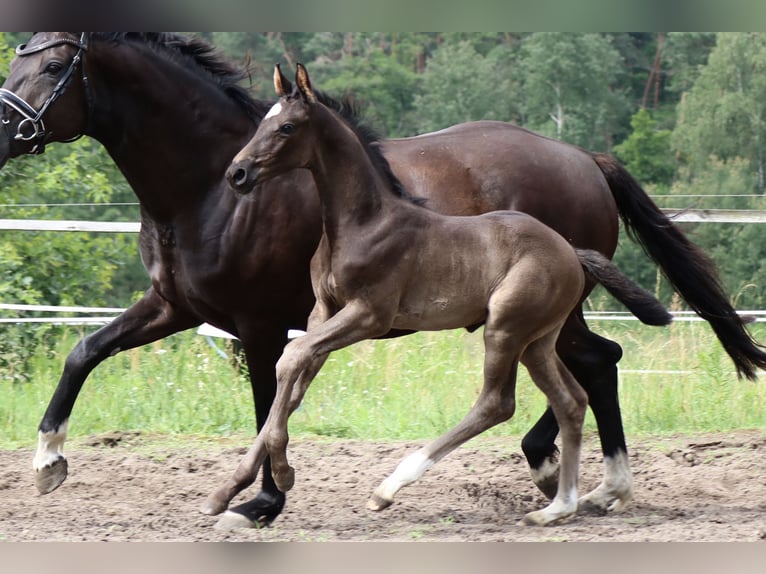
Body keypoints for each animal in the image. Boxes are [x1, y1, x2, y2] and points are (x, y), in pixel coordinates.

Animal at [0, 30, 764, 528]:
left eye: (55, 65)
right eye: (18, 57)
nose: (5, 130)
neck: (204, 188)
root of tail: (585, 157)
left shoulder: (257, 322)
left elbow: (269, 397)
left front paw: (263, 500)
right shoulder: (175, 305)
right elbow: (84, 352)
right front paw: (47, 463)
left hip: (544, 310)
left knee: (591, 365)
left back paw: (566, 475)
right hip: (551, 314)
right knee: (597, 364)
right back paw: (587, 483)